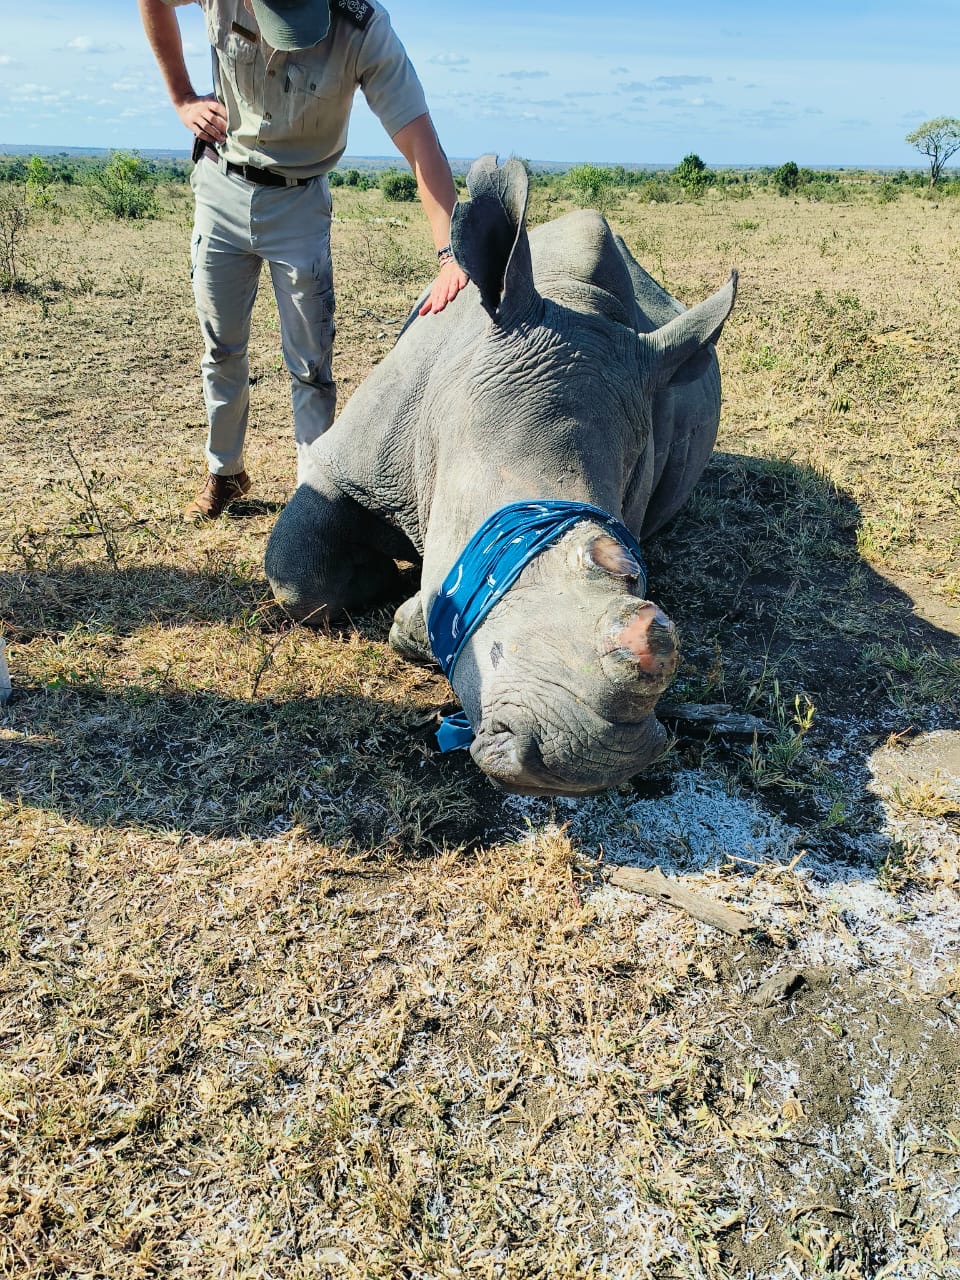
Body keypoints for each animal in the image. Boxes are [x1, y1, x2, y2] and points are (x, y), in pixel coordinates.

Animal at [265, 155, 736, 796]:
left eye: (636, 574)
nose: (590, 761)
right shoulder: (345, 463)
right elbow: (295, 571)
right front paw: (382, 581)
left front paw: (407, 613)